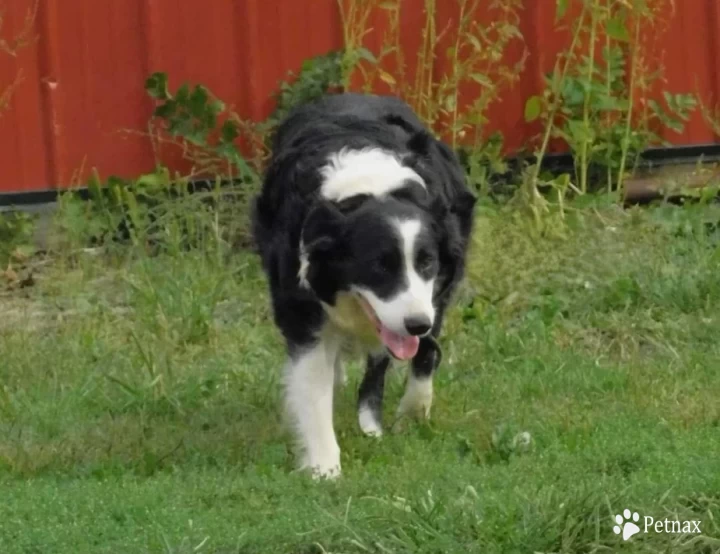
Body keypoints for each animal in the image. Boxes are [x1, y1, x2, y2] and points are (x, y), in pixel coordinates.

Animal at [250, 91, 476, 474]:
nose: (416, 324)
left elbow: (422, 352)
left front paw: (411, 413)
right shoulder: (301, 307)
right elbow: (313, 383)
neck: (372, 189)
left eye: (426, 262)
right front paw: (324, 467)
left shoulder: (435, 293)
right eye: (378, 267)